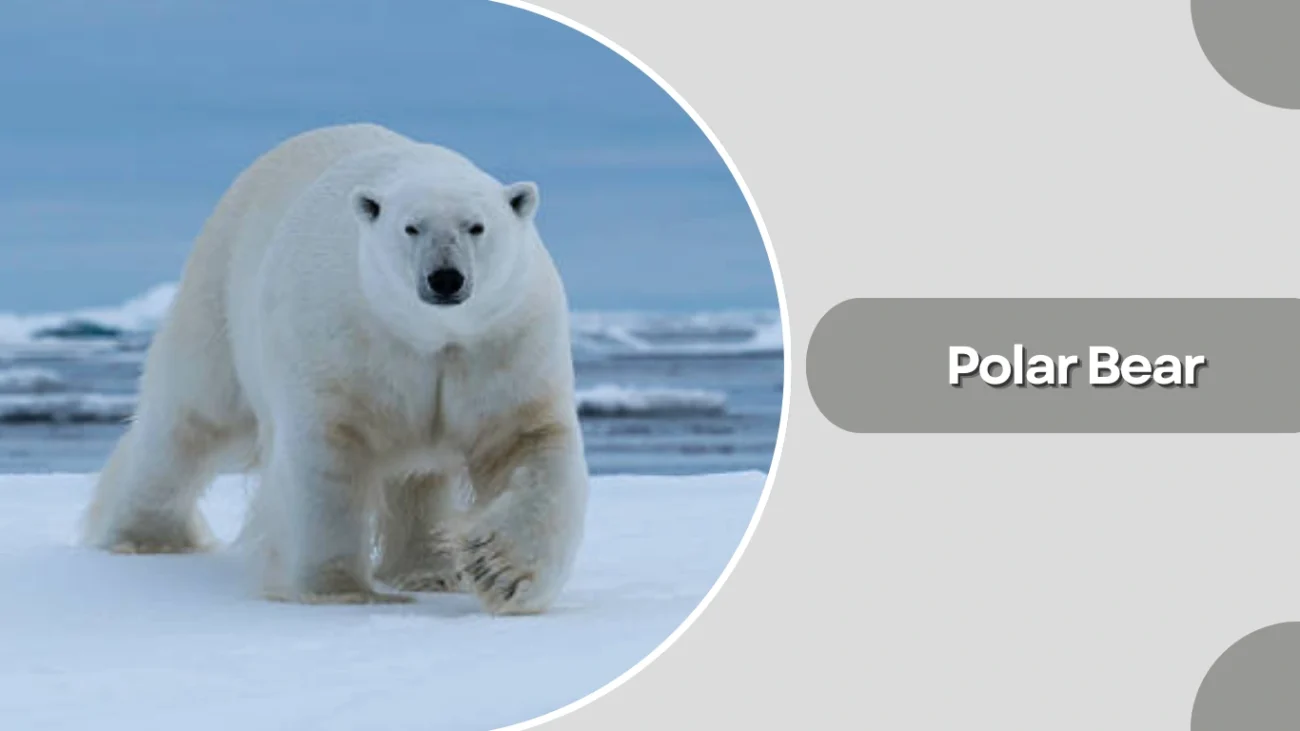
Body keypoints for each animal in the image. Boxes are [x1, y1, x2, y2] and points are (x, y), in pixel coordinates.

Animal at [81, 123, 590, 615]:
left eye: (476, 226)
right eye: (411, 227)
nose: (445, 277)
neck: (429, 335)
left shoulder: (503, 342)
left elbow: (530, 441)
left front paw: (498, 572)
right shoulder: (343, 337)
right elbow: (325, 454)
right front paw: (339, 591)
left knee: (420, 478)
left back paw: (431, 572)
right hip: (218, 297)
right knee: (189, 419)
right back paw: (143, 536)